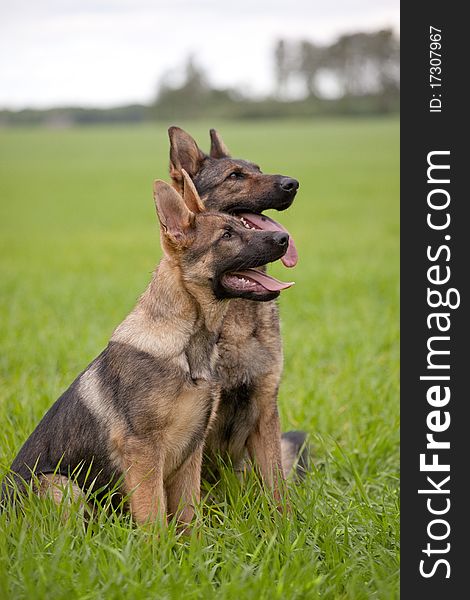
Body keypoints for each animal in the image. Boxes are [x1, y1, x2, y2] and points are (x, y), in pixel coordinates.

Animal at [169, 127, 308, 496]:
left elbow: (276, 488)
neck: (237, 317)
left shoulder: (264, 408)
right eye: (234, 176)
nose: (293, 183)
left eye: (258, 169)